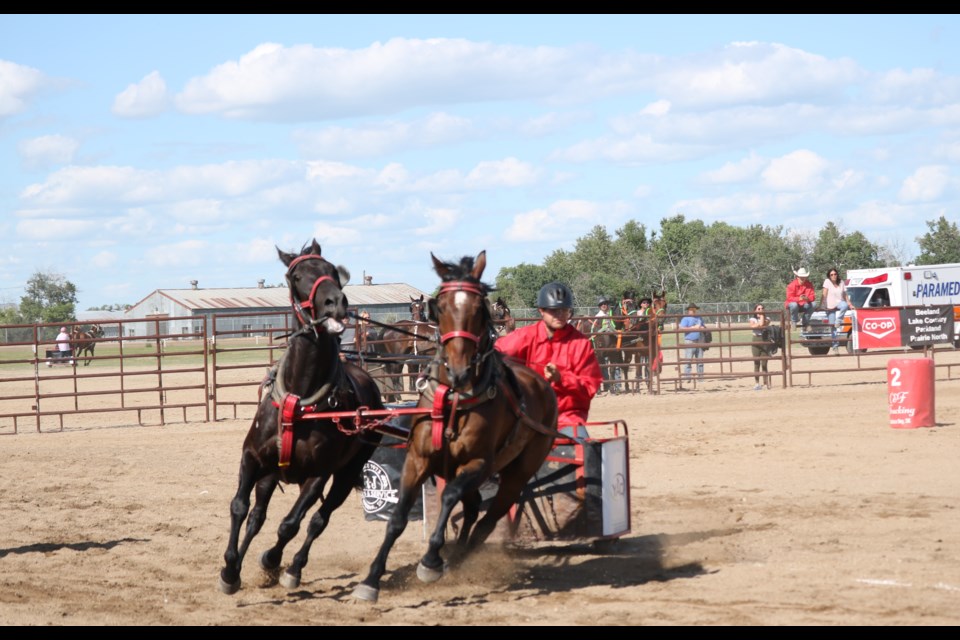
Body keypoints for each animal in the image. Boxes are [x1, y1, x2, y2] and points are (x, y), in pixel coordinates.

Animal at [218, 239, 382, 596]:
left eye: (333, 271)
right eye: (296, 276)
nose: (336, 302)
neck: (299, 396)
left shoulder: (319, 474)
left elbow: (290, 525)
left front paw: (272, 561)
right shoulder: (252, 457)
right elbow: (239, 508)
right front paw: (230, 569)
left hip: (347, 474)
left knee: (319, 520)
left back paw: (292, 567)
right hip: (270, 474)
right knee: (257, 517)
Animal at [350, 251, 564, 604]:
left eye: (480, 307)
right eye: (442, 305)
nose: (460, 370)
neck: (455, 399)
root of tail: (542, 384)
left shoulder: (477, 464)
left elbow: (449, 498)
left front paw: (431, 561)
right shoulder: (418, 459)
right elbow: (397, 519)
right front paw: (371, 579)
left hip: (515, 473)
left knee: (487, 518)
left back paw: (454, 558)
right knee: (475, 508)